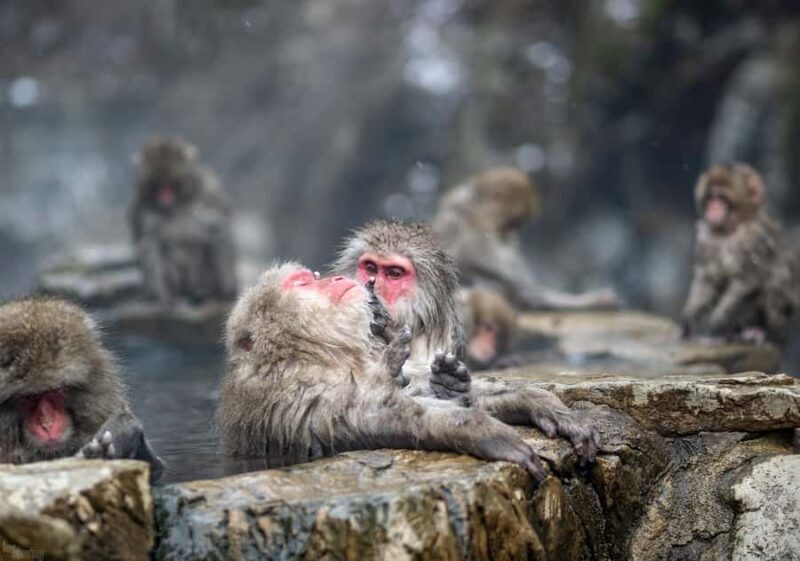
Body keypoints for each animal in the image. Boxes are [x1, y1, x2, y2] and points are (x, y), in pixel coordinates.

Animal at [129, 136, 238, 306]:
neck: (179, 203)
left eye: (170, 186)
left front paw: (227, 288)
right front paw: (160, 295)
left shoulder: (209, 194)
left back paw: (203, 293)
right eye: (157, 187)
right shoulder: (141, 207)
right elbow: (149, 242)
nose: (164, 200)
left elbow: (218, 229)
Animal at [216, 263, 550, 482]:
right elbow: (367, 420)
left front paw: (529, 400)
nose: (336, 277)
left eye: (313, 278)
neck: (314, 352)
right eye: (303, 284)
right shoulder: (299, 388)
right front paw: (480, 429)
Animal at [682, 162, 800, 346]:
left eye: (722, 198)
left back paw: (760, 333)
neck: (729, 229)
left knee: (777, 279)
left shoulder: (754, 237)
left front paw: (719, 318)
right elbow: (707, 279)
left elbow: (748, 280)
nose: (713, 208)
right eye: (711, 197)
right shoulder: (706, 237)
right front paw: (690, 315)